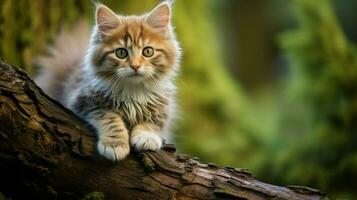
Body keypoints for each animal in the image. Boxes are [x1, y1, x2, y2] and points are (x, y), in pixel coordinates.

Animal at [34, 1, 181, 161]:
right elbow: (110, 118)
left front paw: (146, 137)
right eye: (121, 53)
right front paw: (115, 145)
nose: (135, 66)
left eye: (148, 51)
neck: (132, 90)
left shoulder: (163, 108)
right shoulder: (85, 101)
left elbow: (151, 122)